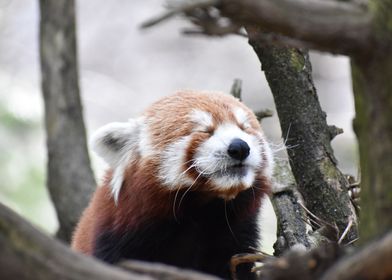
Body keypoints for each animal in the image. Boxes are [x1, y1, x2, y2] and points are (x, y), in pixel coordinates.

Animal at [71, 91, 272, 278]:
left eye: (244, 128)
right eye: (205, 131)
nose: (240, 147)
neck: (203, 209)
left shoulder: (235, 236)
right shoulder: (116, 237)